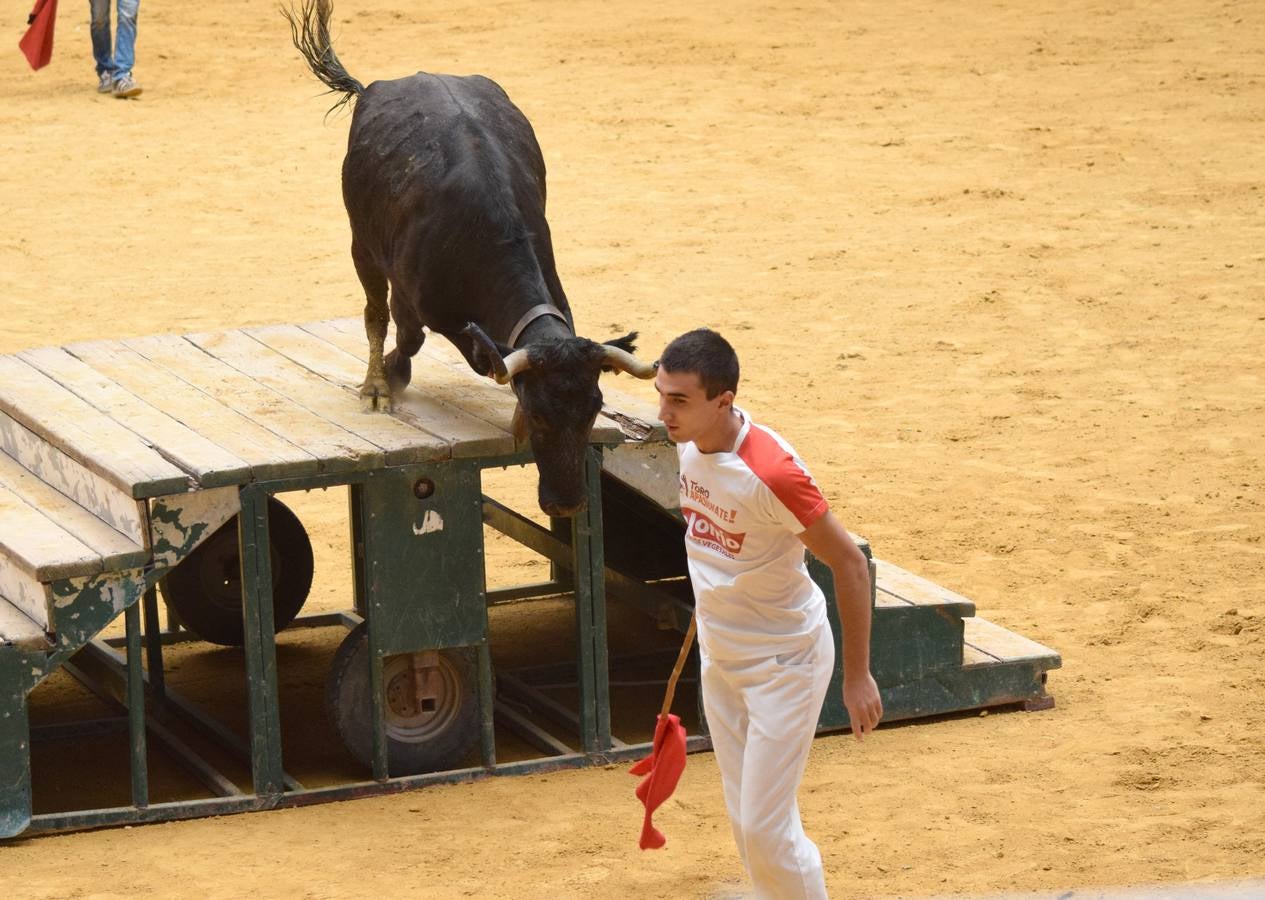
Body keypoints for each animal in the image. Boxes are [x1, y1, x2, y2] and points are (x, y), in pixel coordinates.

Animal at [287, 0, 657, 516]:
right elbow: (413, 338)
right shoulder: (414, 297)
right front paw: (392, 379)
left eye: (593, 409)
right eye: (539, 415)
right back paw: (376, 386)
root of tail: (387, 84)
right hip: (361, 244)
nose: (566, 505)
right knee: (374, 314)